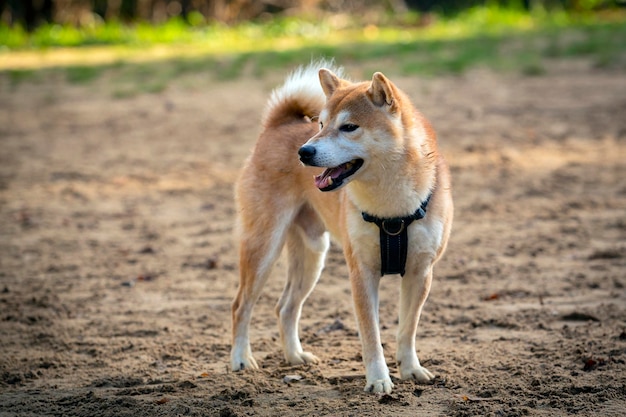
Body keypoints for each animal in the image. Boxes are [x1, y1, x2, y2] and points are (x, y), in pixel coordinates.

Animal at [232, 60, 450, 392]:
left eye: (349, 127)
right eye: (321, 124)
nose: (304, 152)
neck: (391, 208)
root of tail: (276, 126)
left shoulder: (420, 272)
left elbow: (407, 329)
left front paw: (411, 369)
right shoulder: (362, 273)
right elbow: (371, 335)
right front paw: (378, 379)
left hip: (312, 255)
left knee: (285, 307)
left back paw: (294, 356)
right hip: (264, 247)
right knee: (241, 306)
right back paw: (241, 360)